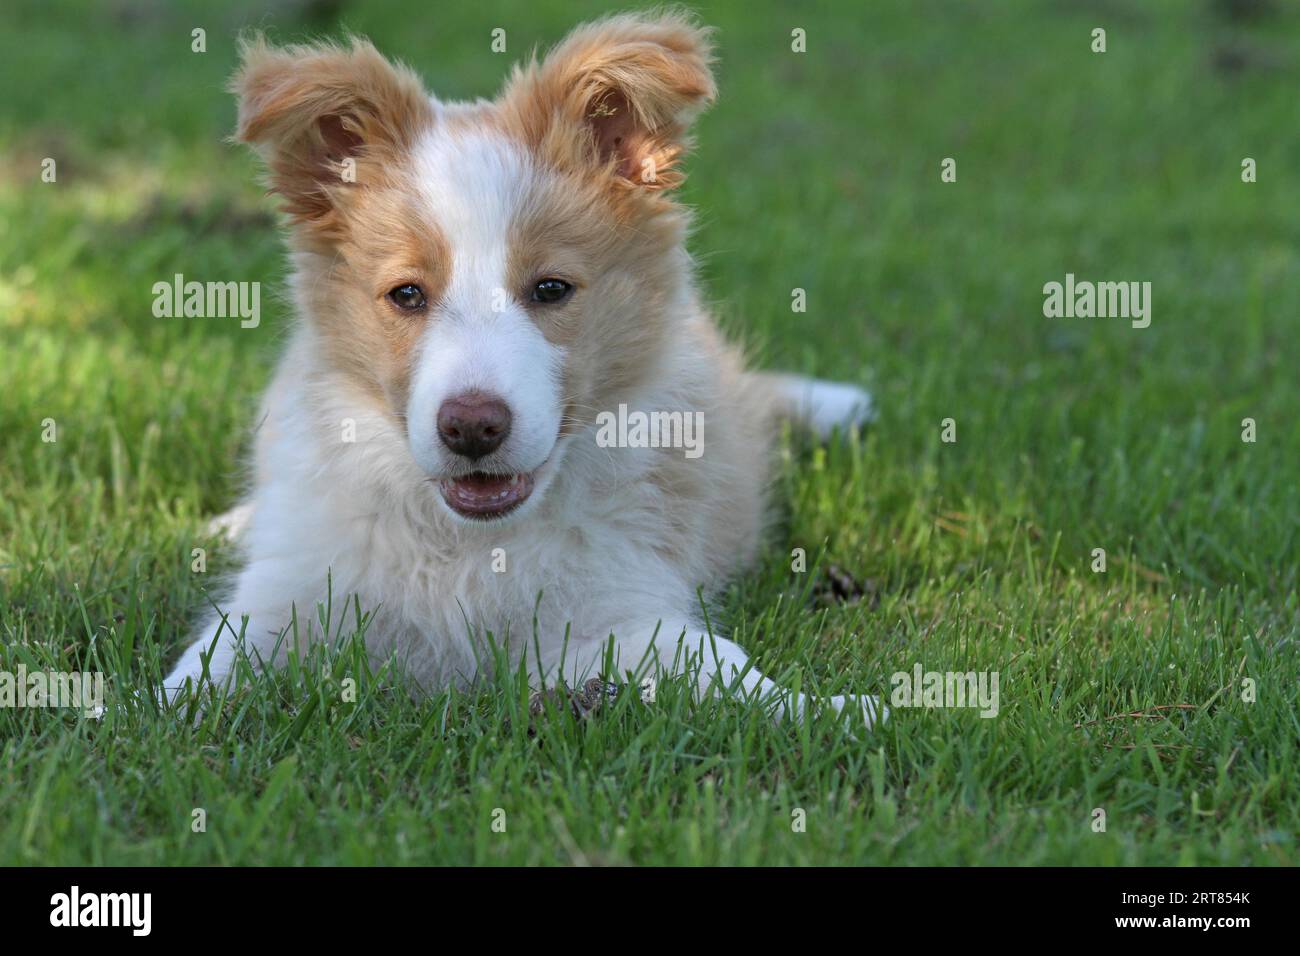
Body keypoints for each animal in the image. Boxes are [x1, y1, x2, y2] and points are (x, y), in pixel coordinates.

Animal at [165, 11, 883, 728]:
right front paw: (148, 712)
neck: (471, 545)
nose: (471, 428)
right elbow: (209, 662)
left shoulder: (617, 612)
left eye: (551, 289)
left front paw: (846, 709)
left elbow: (725, 669)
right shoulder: (291, 592)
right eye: (407, 294)